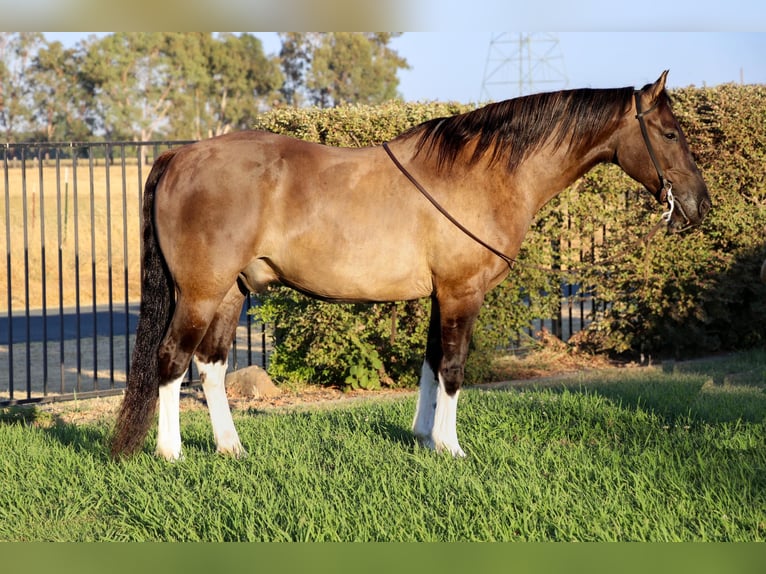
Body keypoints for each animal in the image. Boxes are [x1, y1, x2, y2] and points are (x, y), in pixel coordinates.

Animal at [111, 71, 711, 461]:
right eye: (670, 133)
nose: (699, 206)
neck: (481, 174)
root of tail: (180, 155)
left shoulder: (441, 295)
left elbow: (430, 364)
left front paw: (425, 439)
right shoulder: (462, 292)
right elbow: (454, 367)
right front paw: (451, 447)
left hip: (232, 291)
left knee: (210, 366)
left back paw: (231, 448)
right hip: (200, 292)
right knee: (171, 361)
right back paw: (170, 454)